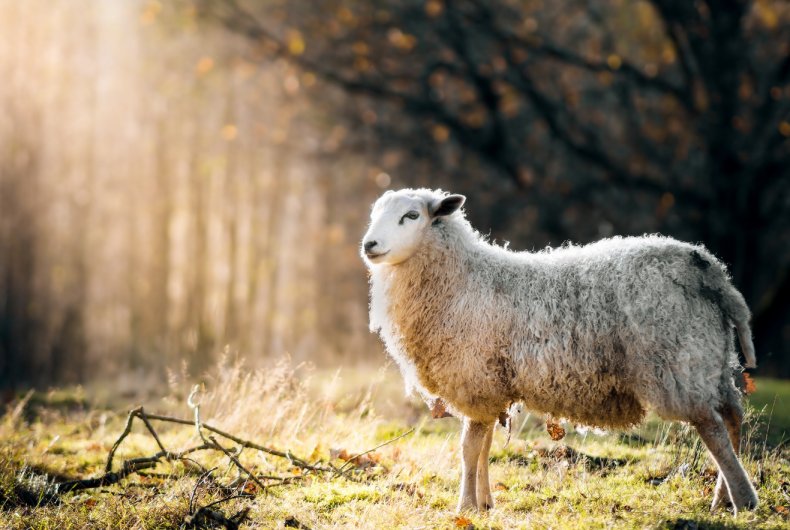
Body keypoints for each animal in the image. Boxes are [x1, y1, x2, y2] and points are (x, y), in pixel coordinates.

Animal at [360, 187, 760, 512]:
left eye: (411, 216)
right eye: (374, 212)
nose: (369, 246)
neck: (462, 278)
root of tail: (708, 268)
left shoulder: (475, 379)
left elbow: (468, 448)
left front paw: (465, 506)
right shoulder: (491, 387)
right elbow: (485, 445)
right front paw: (485, 503)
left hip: (678, 361)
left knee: (712, 428)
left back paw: (743, 500)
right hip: (708, 357)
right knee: (732, 417)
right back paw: (722, 499)